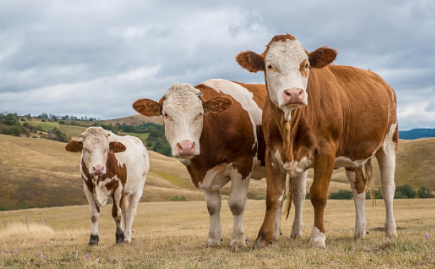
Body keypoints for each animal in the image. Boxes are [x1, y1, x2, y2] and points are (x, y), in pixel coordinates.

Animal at [133, 79, 286, 249]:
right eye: (166, 114)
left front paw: (238, 240)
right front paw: (213, 240)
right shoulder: (203, 173)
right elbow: (213, 207)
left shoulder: (242, 164)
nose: (186, 146)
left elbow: (237, 204)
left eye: (200, 113)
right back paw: (274, 234)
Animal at [237, 34, 400, 248]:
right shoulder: (272, 153)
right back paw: (359, 231)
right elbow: (273, 196)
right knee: (358, 188)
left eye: (305, 64)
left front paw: (318, 238)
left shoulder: (326, 151)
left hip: (389, 142)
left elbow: (318, 195)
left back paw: (391, 231)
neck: (291, 125)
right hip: (354, 154)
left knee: (388, 187)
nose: (294, 93)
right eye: (270, 66)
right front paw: (262, 239)